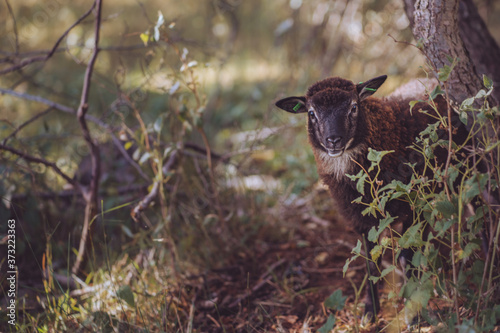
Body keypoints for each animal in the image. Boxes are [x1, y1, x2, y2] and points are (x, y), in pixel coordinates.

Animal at [274, 75, 464, 320]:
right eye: (311, 113)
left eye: (354, 107)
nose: (333, 140)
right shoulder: (362, 219)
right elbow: (371, 262)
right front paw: (370, 310)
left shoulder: (414, 206)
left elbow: (406, 256)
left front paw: (412, 313)